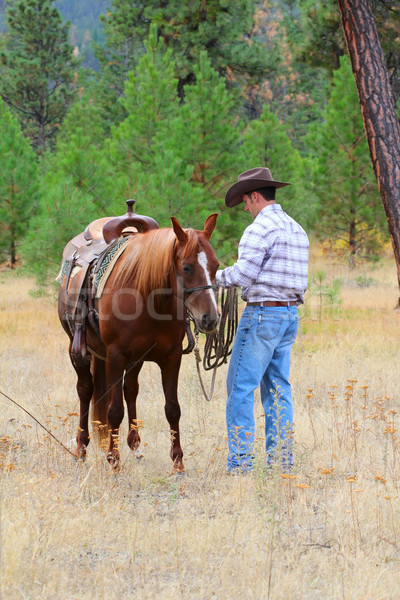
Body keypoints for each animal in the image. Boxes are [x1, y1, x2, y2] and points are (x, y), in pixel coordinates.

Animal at [57, 213, 219, 472]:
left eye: (216, 265)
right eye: (186, 267)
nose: (210, 318)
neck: (147, 296)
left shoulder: (171, 357)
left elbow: (172, 409)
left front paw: (178, 463)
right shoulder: (115, 357)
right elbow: (114, 411)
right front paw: (113, 461)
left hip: (135, 360)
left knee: (130, 389)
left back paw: (135, 446)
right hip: (78, 350)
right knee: (85, 390)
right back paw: (81, 448)